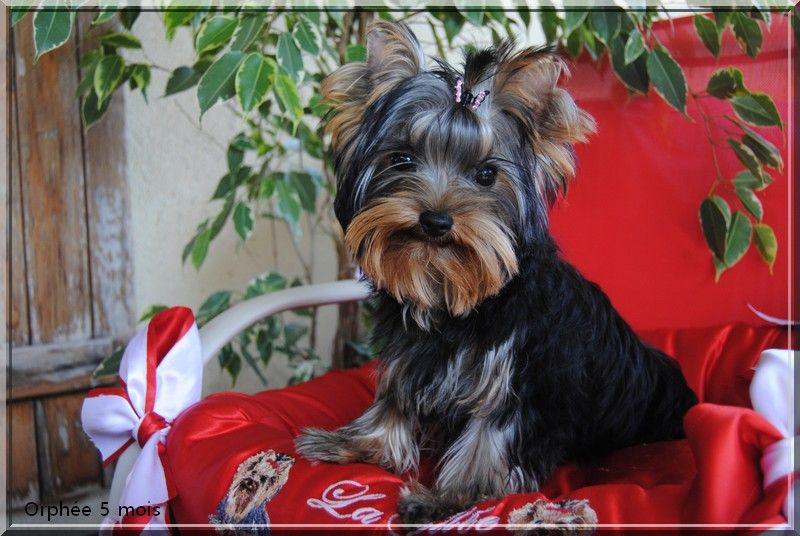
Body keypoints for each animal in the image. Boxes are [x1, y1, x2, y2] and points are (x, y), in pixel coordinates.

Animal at [296, 22, 696, 524]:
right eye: (403, 159)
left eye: (487, 174)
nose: (436, 221)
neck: (452, 297)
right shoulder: (413, 356)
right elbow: (395, 398)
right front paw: (355, 442)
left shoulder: (523, 377)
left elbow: (490, 438)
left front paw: (451, 497)